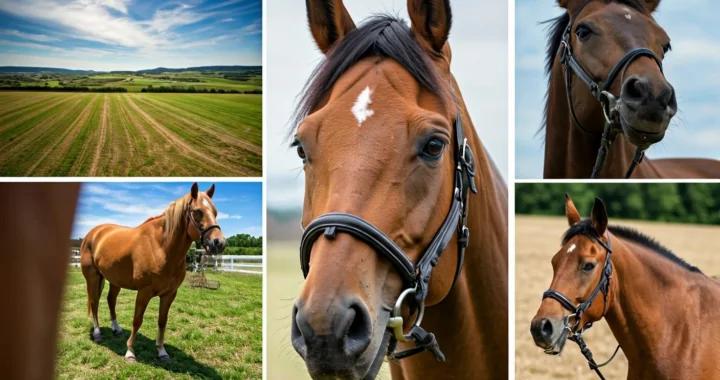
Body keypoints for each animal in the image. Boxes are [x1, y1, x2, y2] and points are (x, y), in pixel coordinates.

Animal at [79, 183, 226, 362]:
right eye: (198, 211)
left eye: (215, 212)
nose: (219, 243)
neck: (160, 247)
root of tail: (93, 233)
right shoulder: (144, 292)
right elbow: (137, 320)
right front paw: (130, 352)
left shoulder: (169, 294)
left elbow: (162, 321)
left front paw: (162, 351)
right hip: (92, 278)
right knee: (94, 302)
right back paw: (98, 333)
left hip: (115, 280)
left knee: (110, 300)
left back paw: (117, 329)